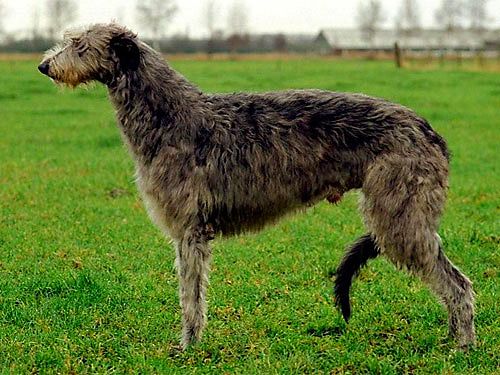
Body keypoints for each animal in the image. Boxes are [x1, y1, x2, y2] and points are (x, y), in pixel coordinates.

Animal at [40, 23, 476, 352]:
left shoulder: (190, 230)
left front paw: (188, 347)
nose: (44, 65)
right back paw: (451, 337)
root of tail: (431, 133)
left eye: (79, 45)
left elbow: (190, 297)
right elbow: (191, 293)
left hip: (400, 214)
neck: (169, 115)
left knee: (458, 284)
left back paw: (463, 345)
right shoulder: (191, 231)